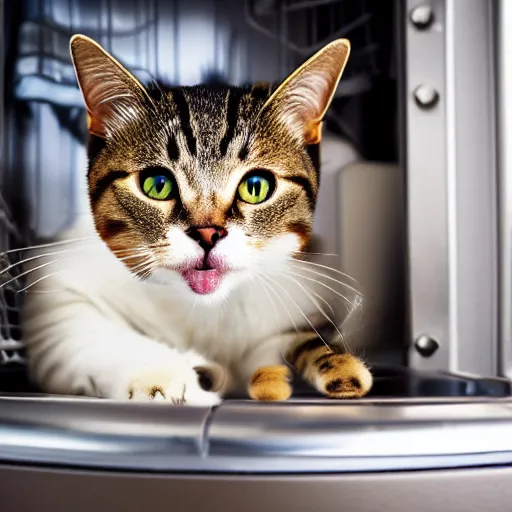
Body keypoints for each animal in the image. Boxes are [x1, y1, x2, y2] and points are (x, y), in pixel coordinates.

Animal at [21, 34, 372, 406]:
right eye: (157, 184)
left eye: (256, 186)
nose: (207, 234)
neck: (205, 311)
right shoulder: (56, 296)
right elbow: (98, 335)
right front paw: (165, 377)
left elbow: (300, 340)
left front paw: (338, 366)